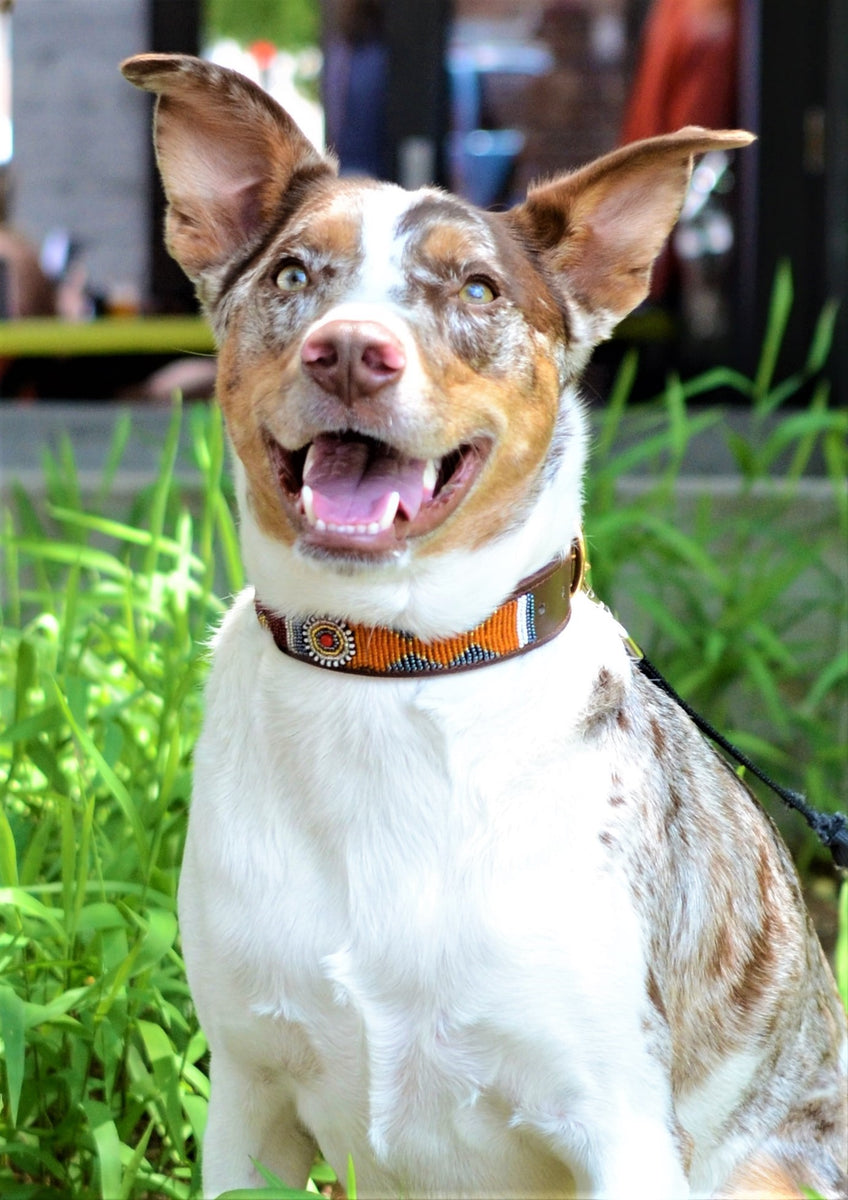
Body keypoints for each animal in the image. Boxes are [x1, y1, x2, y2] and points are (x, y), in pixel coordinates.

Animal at [121, 51, 848, 1195]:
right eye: (293, 276)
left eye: (475, 289)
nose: (349, 353)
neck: (391, 665)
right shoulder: (246, 1104)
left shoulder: (618, 1129)